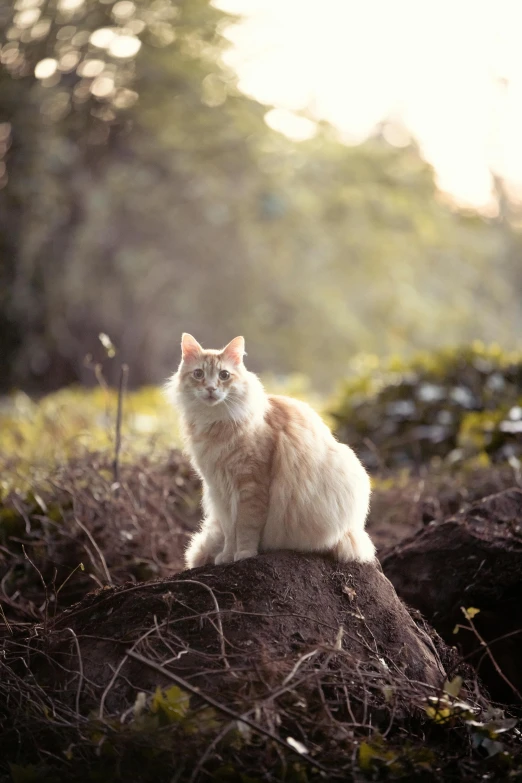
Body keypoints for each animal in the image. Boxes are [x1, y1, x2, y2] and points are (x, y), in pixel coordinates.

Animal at [167, 332, 374, 568]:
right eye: (198, 374)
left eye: (224, 375)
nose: (211, 388)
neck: (214, 423)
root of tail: (352, 530)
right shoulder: (220, 491)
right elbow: (230, 531)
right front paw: (226, 556)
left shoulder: (251, 486)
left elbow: (245, 528)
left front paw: (244, 553)